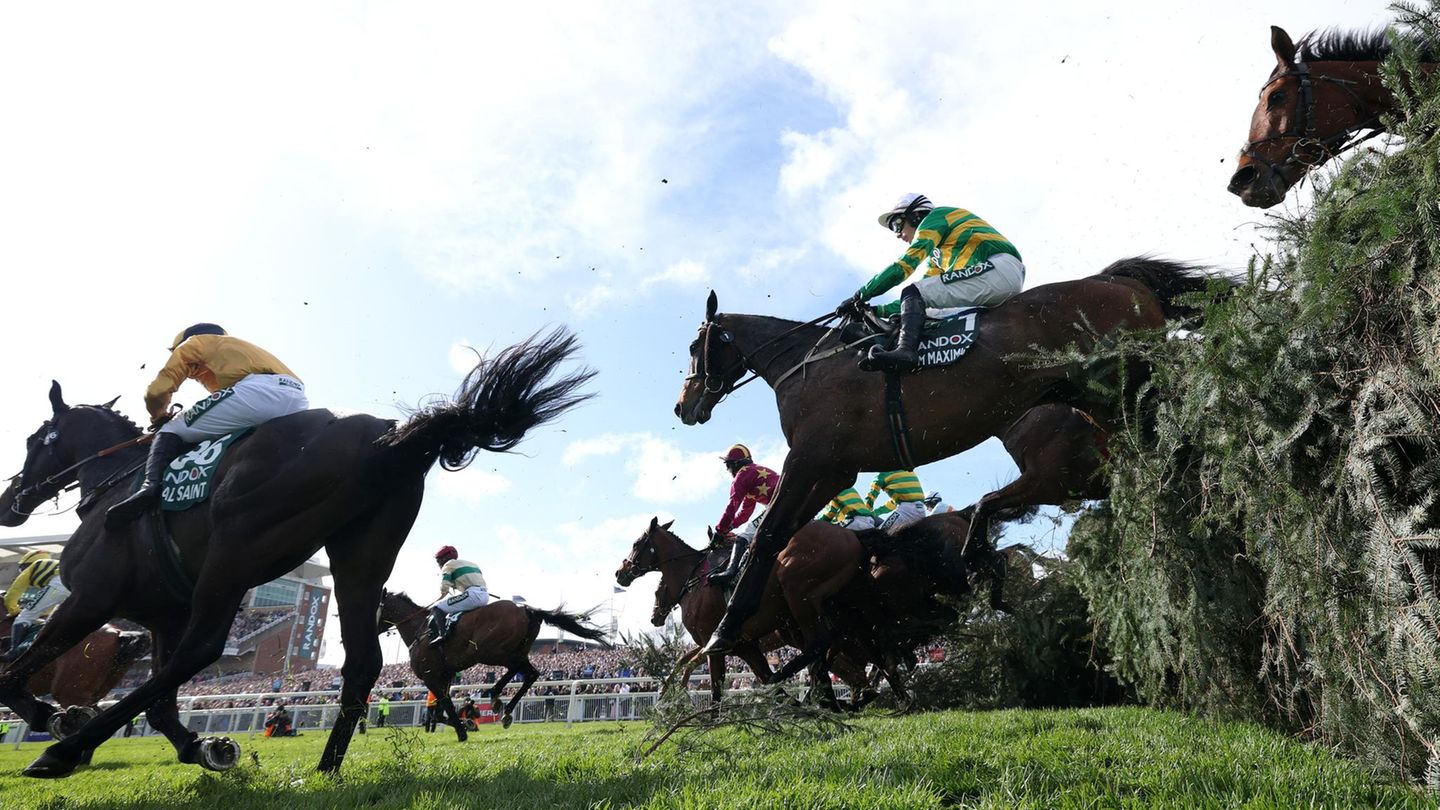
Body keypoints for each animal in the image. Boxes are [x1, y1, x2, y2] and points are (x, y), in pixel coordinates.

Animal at [377, 590, 608, 733]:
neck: (420, 629)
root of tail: (526, 609)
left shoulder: (430, 676)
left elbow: (444, 709)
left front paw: (465, 724)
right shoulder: (445, 676)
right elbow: (440, 713)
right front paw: (466, 721)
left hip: (490, 651)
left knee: (519, 670)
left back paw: (496, 696)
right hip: (516, 650)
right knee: (531, 673)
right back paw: (504, 710)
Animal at [677, 256, 1220, 654]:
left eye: (692, 346)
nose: (685, 405)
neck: (807, 366)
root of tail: (1113, 280)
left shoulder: (810, 460)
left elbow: (768, 535)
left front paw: (723, 630)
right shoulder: (833, 470)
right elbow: (777, 536)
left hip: (1124, 379)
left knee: (1176, 428)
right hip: (1099, 398)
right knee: (1156, 447)